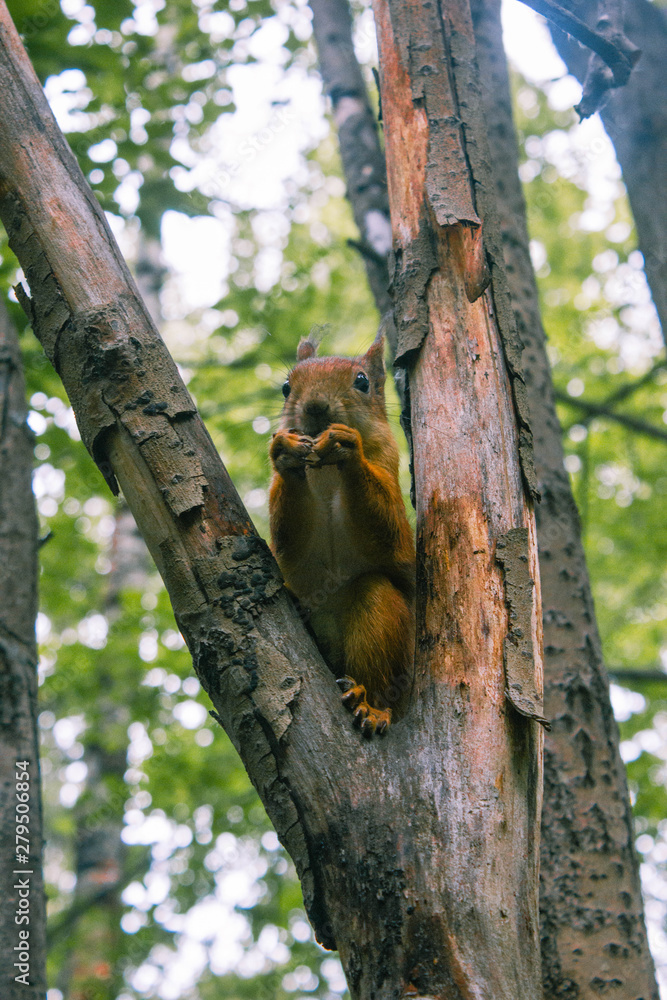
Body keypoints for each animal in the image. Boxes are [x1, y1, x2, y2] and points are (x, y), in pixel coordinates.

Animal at [268, 332, 415, 735]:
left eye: (362, 382)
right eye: (286, 387)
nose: (315, 406)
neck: (328, 473)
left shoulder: (388, 474)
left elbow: (389, 532)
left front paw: (348, 446)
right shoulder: (291, 546)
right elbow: (287, 542)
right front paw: (284, 450)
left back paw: (371, 706)